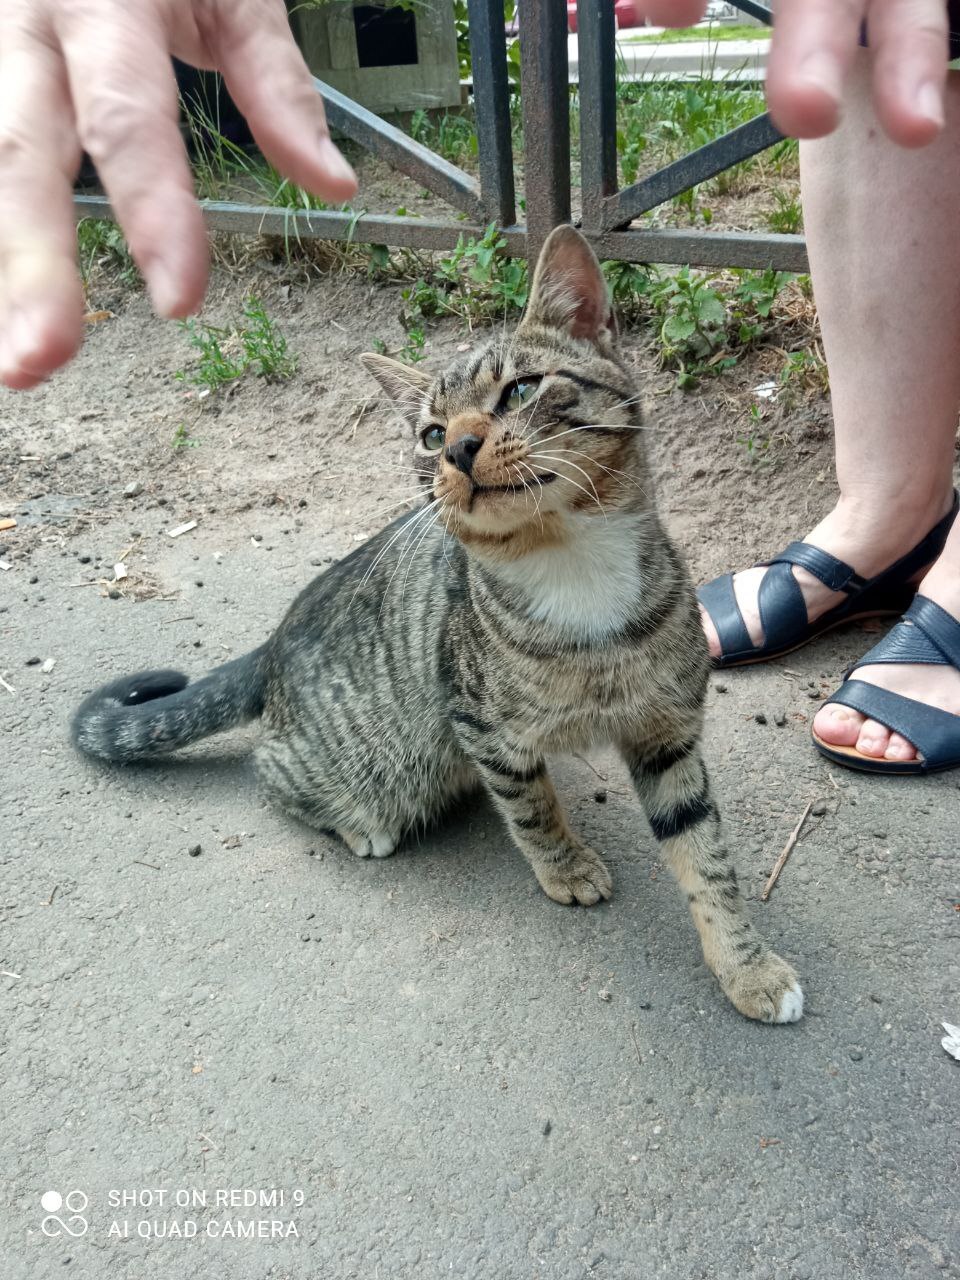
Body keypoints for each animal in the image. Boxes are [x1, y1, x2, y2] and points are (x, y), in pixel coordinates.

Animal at [69, 222, 803, 1018]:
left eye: (520, 389)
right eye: (429, 434)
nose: (458, 448)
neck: (571, 566)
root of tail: (271, 644)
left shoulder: (667, 733)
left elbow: (707, 855)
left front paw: (747, 965)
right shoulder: (481, 724)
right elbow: (533, 809)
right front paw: (566, 866)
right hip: (377, 762)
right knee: (272, 770)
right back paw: (356, 822)